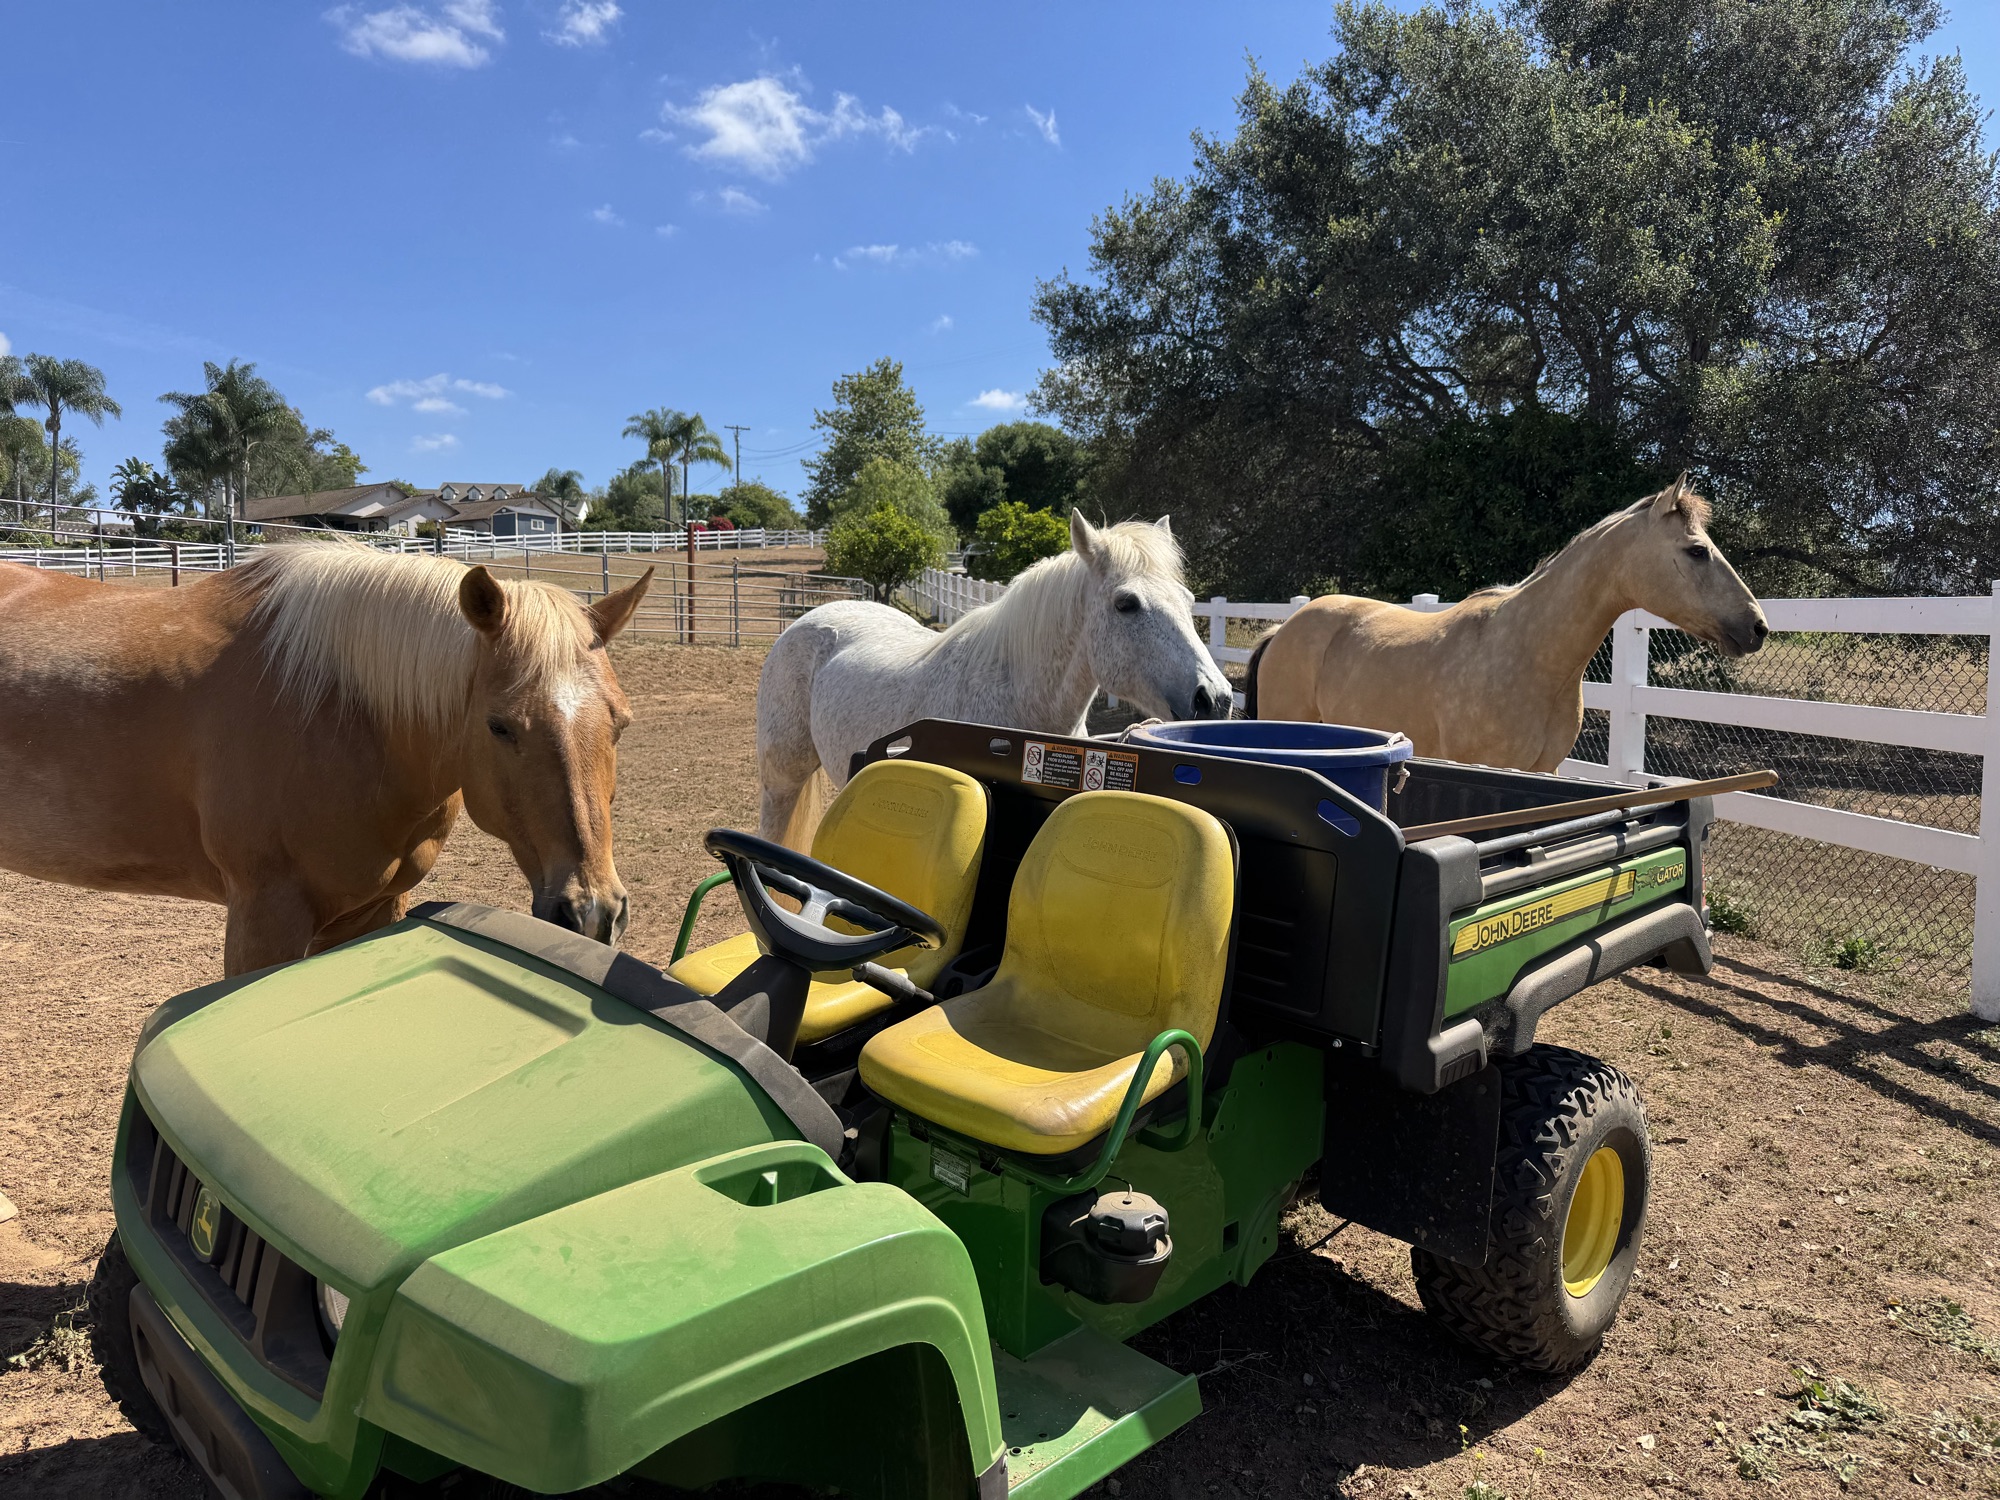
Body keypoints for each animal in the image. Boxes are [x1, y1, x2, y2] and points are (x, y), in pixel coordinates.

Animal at [0, 545, 653, 975]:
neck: (344, 710)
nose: (592, 913)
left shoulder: (372, 911)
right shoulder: (265, 919)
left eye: (620, 722)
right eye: (500, 727)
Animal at [756, 509, 1233, 844]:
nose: (1215, 698)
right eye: (1126, 604)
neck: (1019, 703)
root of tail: (812, 618)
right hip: (780, 783)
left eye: (1188, 599)